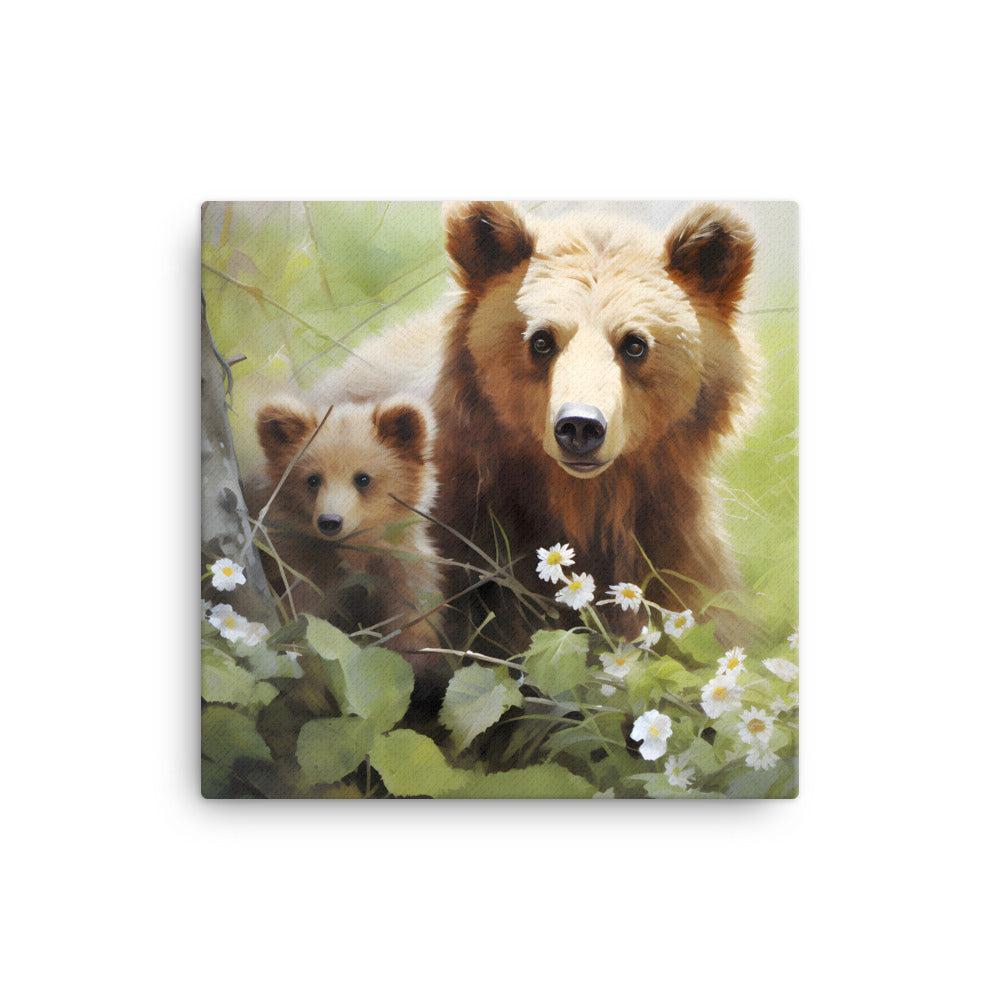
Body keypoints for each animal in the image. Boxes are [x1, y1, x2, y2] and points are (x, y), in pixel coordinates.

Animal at [247, 393, 442, 671]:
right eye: (313, 479)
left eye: (363, 478)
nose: (330, 521)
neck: (351, 552)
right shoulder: (300, 567)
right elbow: (303, 615)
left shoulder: (400, 569)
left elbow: (412, 622)